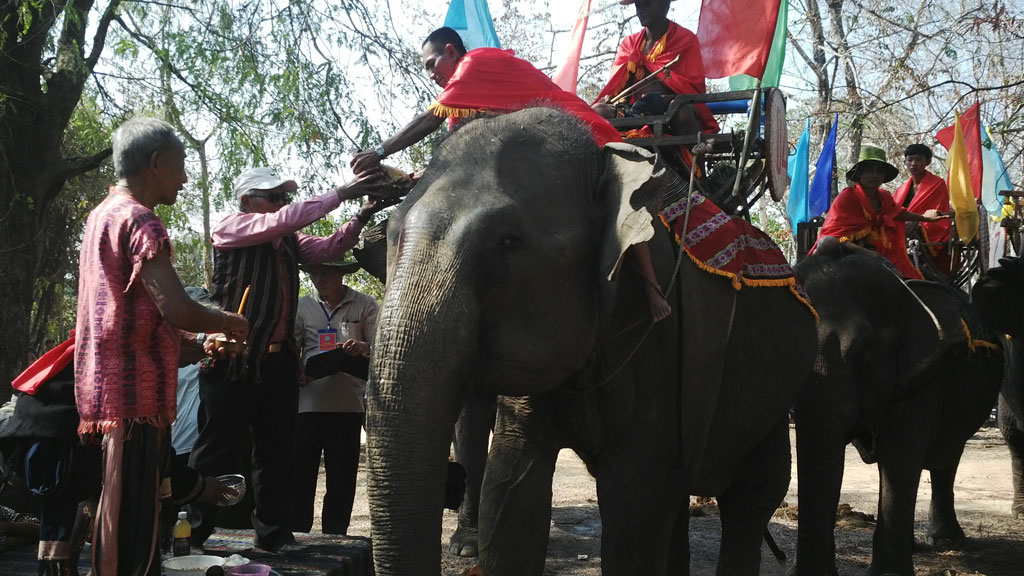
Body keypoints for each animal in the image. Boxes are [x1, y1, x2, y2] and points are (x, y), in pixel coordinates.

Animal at [364, 108, 819, 573]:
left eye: (507, 241)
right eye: (393, 235)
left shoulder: (672, 338)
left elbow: (634, 503)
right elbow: (510, 490)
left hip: (775, 393)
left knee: (751, 499)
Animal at [790, 248, 999, 573]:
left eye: (867, 348)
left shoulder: (926, 377)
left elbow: (901, 457)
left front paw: (890, 573)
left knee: (945, 458)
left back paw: (946, 542)